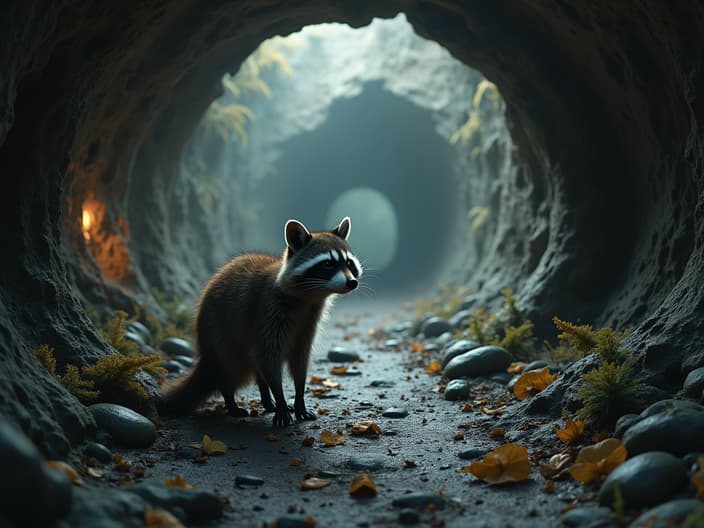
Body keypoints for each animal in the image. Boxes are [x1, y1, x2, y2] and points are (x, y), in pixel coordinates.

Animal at [157, 217, 360, 426]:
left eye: (349, 263)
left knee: (256, 370)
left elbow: (300, 361)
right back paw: (231, 400)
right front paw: (280, 400)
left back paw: (266, 398)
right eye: (328, 264)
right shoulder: (267, 312)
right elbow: (267, 356)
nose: (352, 282)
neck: (309, 297)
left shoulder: (308, 323)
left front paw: (298, 400)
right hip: (220, 334)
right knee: (233, 368)